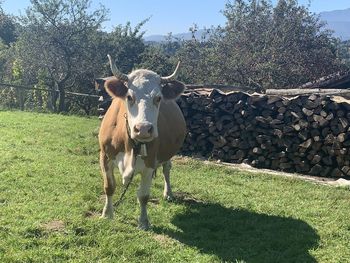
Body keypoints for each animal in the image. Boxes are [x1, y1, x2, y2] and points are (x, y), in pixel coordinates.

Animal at [97, 54, 187, 230]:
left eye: (158, 98)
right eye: (129, 96)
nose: (144, 129)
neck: (129, 144)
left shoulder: (150, 163)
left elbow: (144, 196)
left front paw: (144, 222)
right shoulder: (105, 156)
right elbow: (109, 187)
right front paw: (107, 214)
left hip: (168, 155)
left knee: (167, 169)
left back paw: (168, 193)